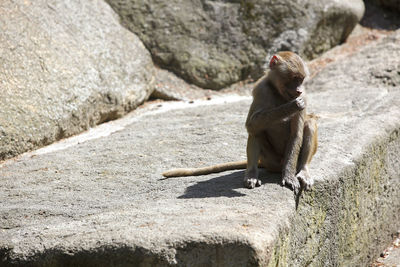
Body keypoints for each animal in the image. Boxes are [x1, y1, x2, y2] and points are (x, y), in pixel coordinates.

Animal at [162, 51, 316, 194]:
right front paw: (291, 106)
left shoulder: (304, 96)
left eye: (301, 79)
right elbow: (251, 124)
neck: (278, 93)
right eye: (294, 78)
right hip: (270, 159)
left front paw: (289, 177)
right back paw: (251, 175)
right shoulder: (261, 89)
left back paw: (303, 171)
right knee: (255, 130)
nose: (298, 91)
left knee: (310, 123)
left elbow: (296, 135)